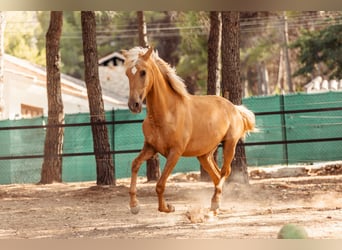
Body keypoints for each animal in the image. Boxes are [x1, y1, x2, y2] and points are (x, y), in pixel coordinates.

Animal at [121, 46, 255, 214]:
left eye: (143, 72)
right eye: (127, 73)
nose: (134, 105)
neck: (167, 113)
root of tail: (234, 108)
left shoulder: (175, 152)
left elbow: (160, 184)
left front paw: (167, 207)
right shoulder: (150, 148)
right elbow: (135, 164)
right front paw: (134, 205)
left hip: (230, 144)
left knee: (225, 172)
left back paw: (215, 202)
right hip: (204, 155)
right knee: (216, 175)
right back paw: (216, 202)